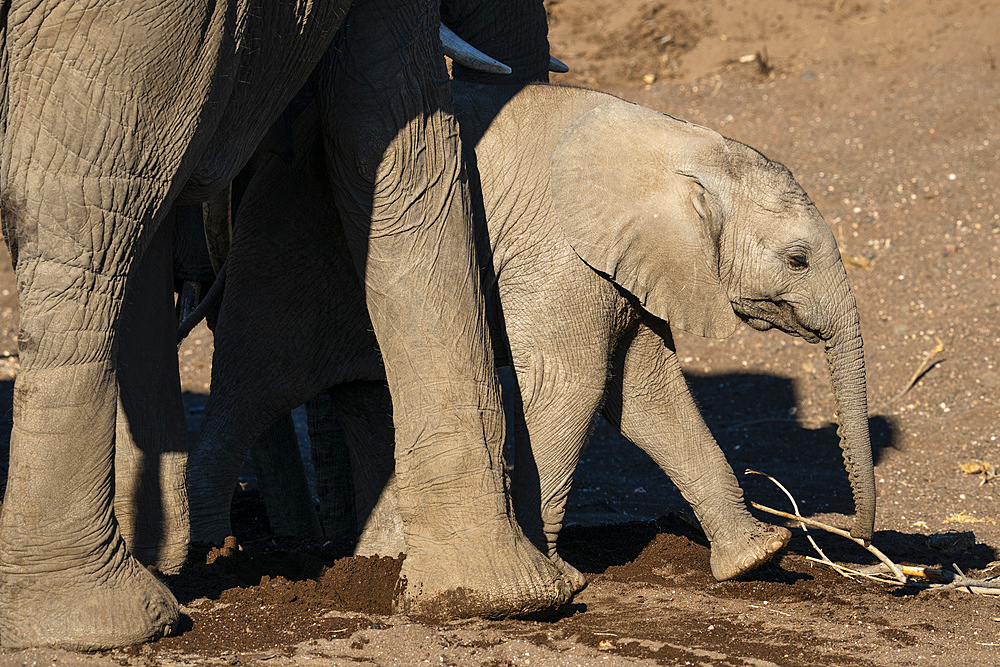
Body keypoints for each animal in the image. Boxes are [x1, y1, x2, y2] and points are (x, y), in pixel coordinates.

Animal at [189, 81, 876, 588]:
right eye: (797, 261)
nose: (858, 537)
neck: (683, 145)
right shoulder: (564, 252)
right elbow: (571, 384)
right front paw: (558, 580)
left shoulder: (626, 264)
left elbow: (647, 394)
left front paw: (757, 558)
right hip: (289, 242)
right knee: (252, 387)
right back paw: (206, 561)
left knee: (368, 396)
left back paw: (381, 563)